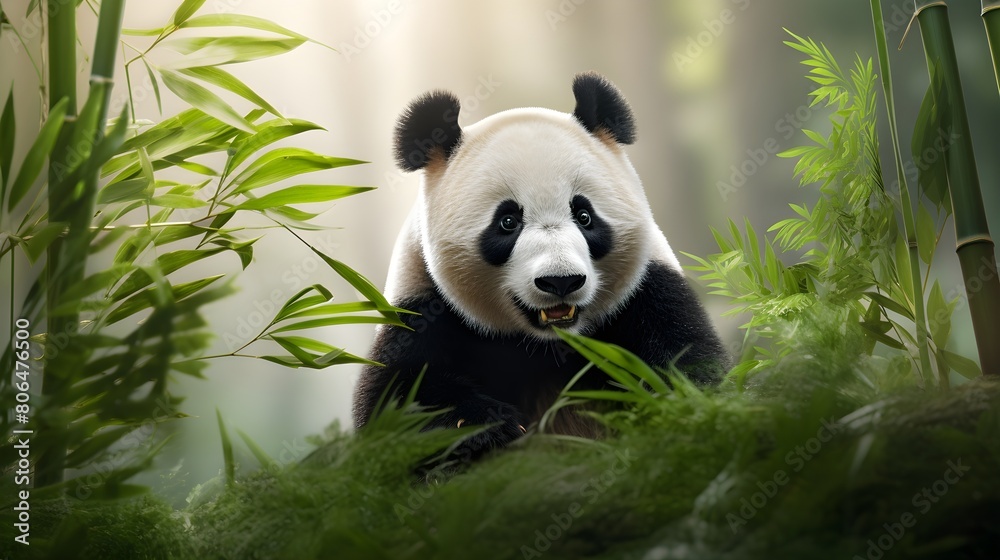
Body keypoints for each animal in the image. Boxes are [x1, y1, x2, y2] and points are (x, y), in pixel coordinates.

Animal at [353, 72, 728, 459]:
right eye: (507, 222)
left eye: (584, 215)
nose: (561, 281)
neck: (544, 343)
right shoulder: (421, 307)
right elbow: (400, 399)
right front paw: (483, 426)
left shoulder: (649, 292)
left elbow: (685, 365)